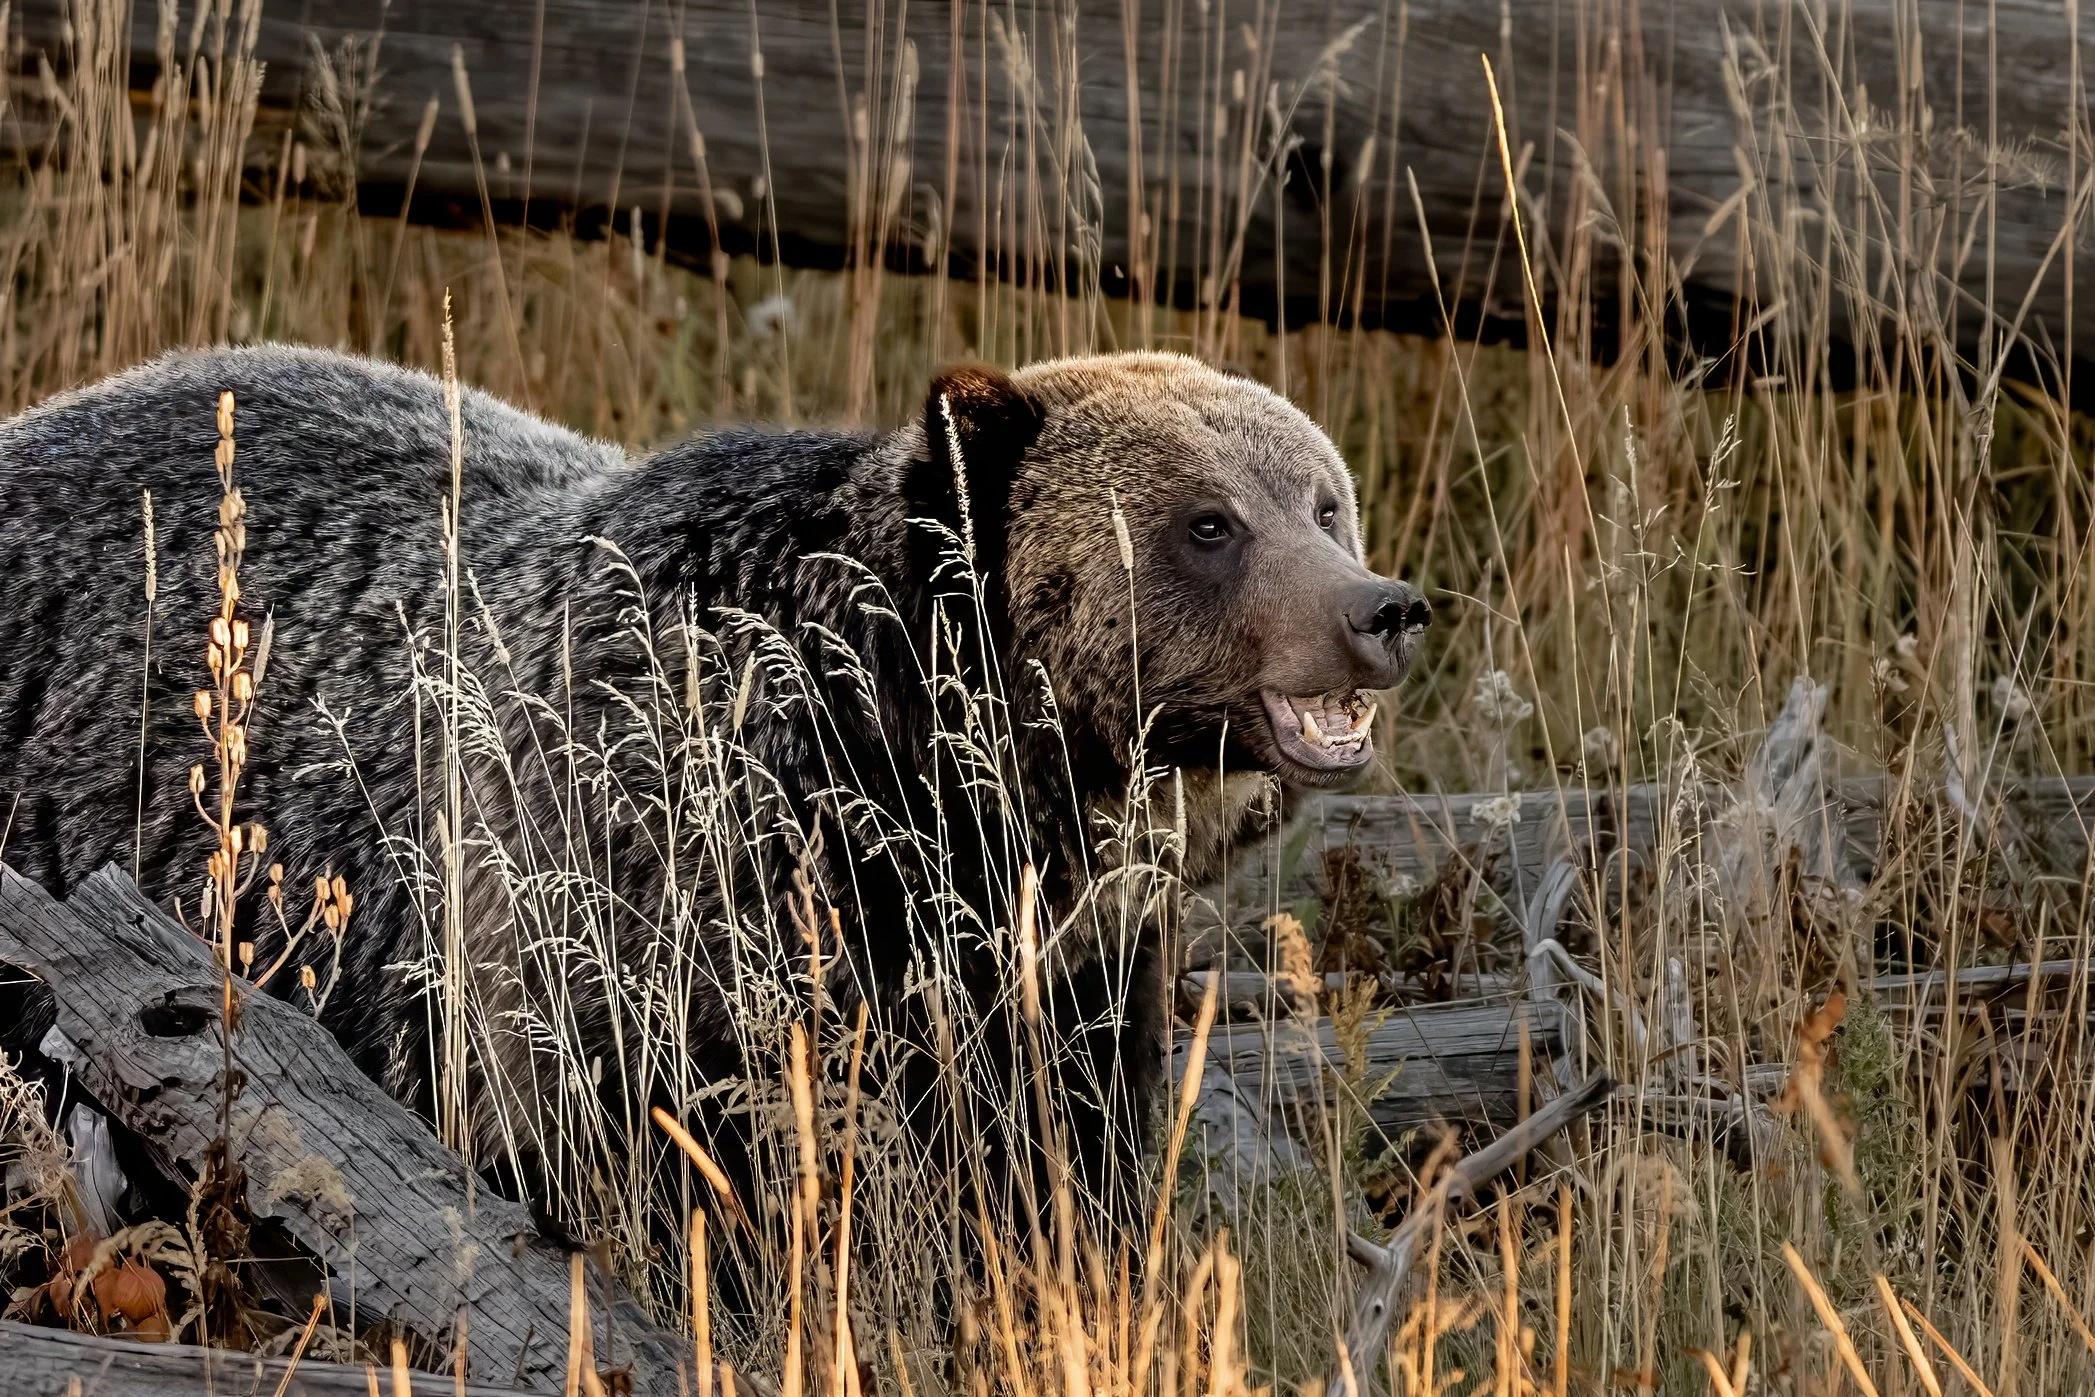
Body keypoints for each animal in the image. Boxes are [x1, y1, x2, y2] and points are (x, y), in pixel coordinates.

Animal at [0, 344, 1427, 1259]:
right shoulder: (643, 916)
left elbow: (1052, 1167)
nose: (1380, 609)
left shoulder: (1058, 973)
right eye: (1207, 522)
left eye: (1322, 499)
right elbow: (672, 1177)